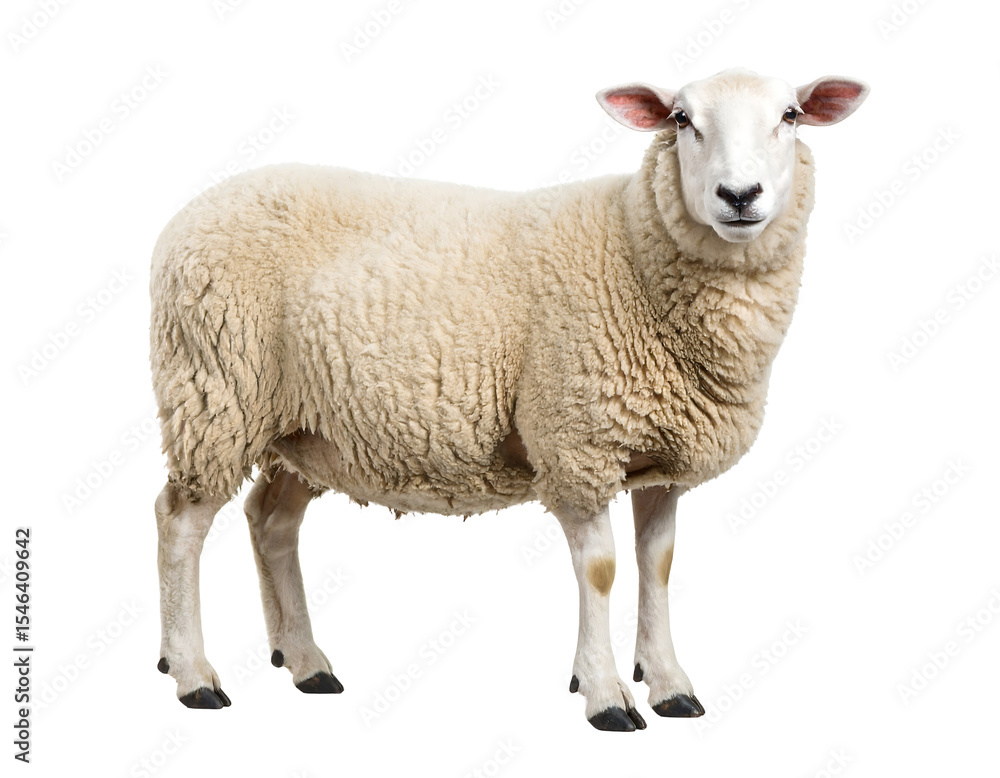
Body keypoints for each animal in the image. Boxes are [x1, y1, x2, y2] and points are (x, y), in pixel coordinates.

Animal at [150, 68, 868, 730]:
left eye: (791, 115)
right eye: (682, 118)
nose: (739, 195)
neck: (633, 253)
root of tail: (189, 212)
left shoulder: (662, 460)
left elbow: (657, 566)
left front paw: (668, 684)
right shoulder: (576, 443)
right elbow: (602, 571)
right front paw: (606, 693)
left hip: (305, 428)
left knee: (271, 520)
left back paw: (303, 661)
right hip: (214, 394)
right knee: (179, 520)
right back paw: (193, 674)